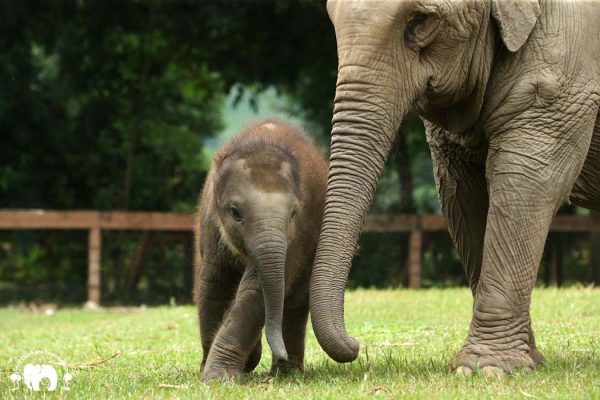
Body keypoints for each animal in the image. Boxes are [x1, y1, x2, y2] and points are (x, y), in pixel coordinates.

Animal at [195, 119, 328, 382]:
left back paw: (286, 373)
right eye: (235, 212)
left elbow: (255, 291)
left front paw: (219, 377)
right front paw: (212, 372)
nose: (281, 353)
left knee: (294, 300)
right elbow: (213, 285)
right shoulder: (210, 226)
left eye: (293, 214)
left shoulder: (297, 237)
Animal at [312, 0, 600, 376]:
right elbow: (462, 193)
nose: (356, 345)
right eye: (330, 18)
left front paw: (486, 369)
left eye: (420, 20)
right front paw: (521, 364)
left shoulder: (568, 69)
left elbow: (528, 179)